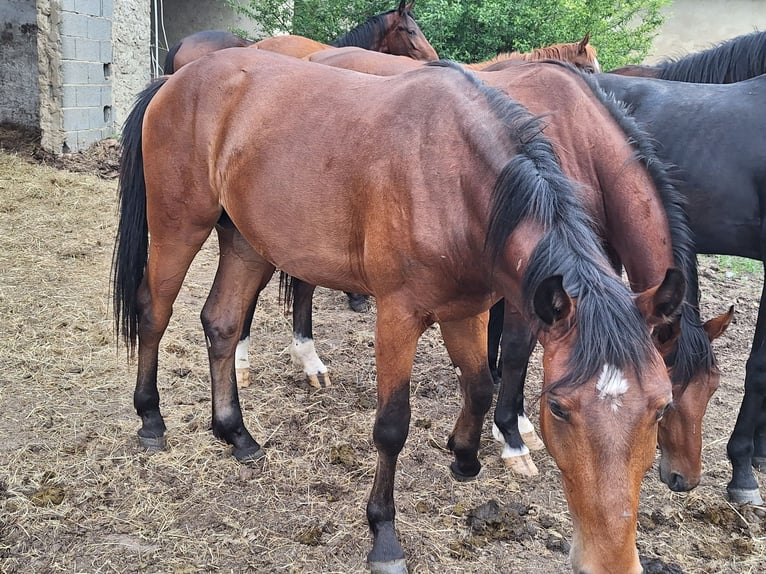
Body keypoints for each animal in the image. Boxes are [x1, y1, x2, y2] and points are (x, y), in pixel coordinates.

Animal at [115, 50, 684, 574]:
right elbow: (392, 425)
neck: (458, 181)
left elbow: (481, 385)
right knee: (154, 313)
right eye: (559, 408)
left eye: (661, 407)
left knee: (223, 324)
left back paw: (236, 434)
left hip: (246, 241)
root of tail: (178, 78)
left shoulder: (467, 311)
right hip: (179, 226)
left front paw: (465, 457)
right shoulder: (398, 315)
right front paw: (384, 535)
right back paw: (151, 419)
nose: (612, 562)